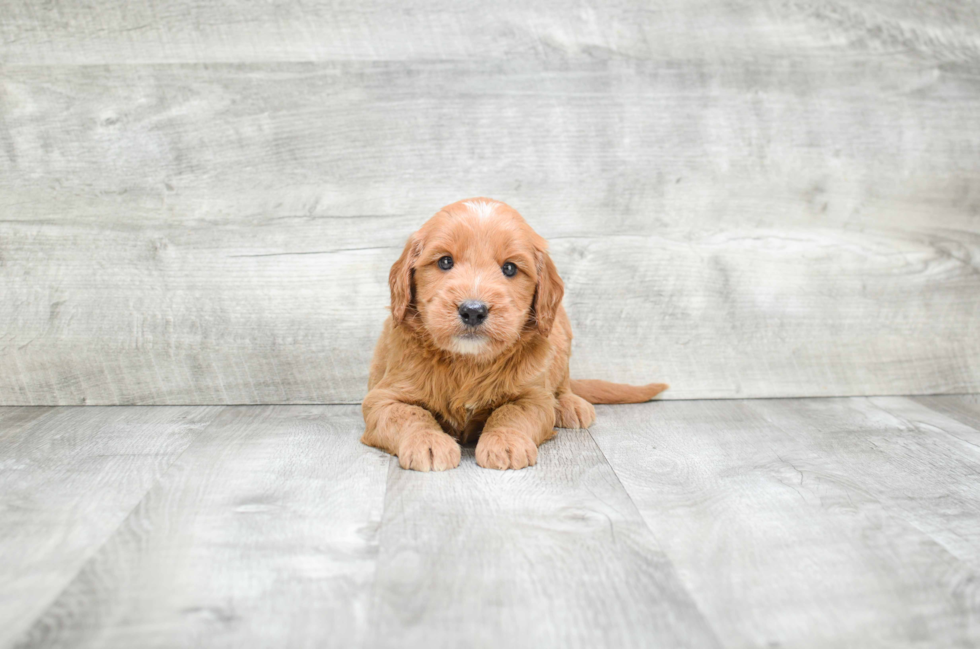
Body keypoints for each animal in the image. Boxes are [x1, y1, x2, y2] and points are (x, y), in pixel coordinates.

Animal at [360, 197, 668, 470]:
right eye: (445, 262)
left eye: (509, 268)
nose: (473, 310)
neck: (467, 363)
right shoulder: (382, 397)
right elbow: (408, 413)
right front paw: (427, 442)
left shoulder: (534, 397)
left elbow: (511, 412)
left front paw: (505, 442)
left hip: (561, 331)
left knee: (563, 382)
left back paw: (570, 404)